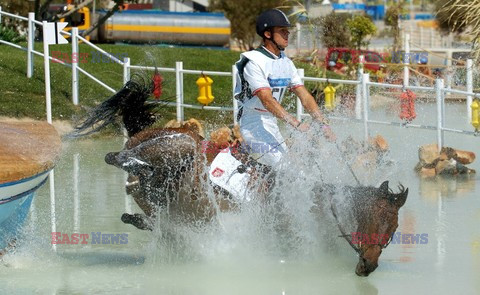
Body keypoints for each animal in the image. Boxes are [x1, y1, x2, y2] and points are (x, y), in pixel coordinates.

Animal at [71, 75, 408, 276]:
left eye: (393, 230)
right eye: (382, 222)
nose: (368, 265)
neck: (314, 205)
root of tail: (147, 130)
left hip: (162, 191)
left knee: (147, 201)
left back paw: (138, 209)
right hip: (179, 146)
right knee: (119, 157)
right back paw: (133, 165)